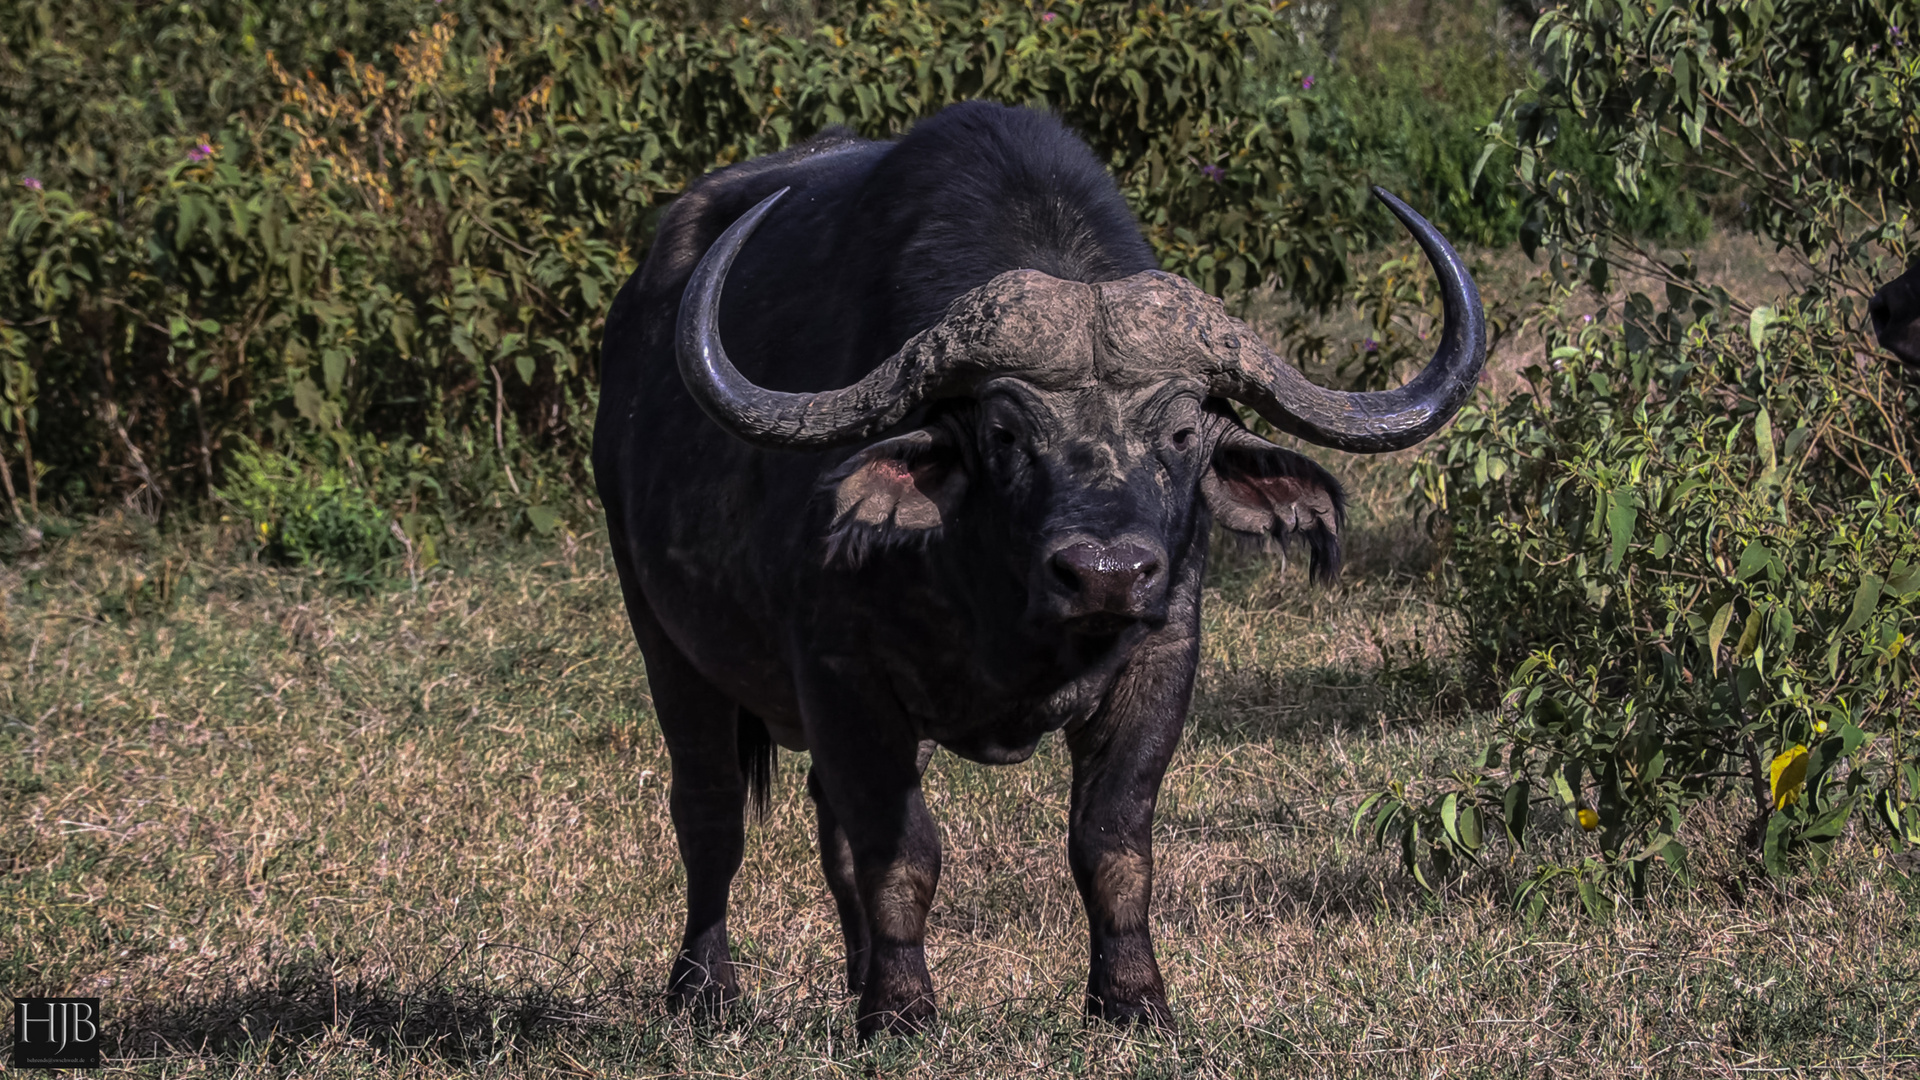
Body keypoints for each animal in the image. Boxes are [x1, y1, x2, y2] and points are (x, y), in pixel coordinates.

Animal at [591, 102, 1489, 1037]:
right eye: (1006, 433)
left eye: (1181, 432)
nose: (1107, 573)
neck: (1004, 606)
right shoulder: (841, 673)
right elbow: (900, 849)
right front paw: (903, 1011)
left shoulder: (1163, 657)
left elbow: (1112, 839)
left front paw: (1132, 998)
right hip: (665, 640)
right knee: (710, 813)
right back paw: (704, 989)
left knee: (822, 817)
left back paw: (857, 972)